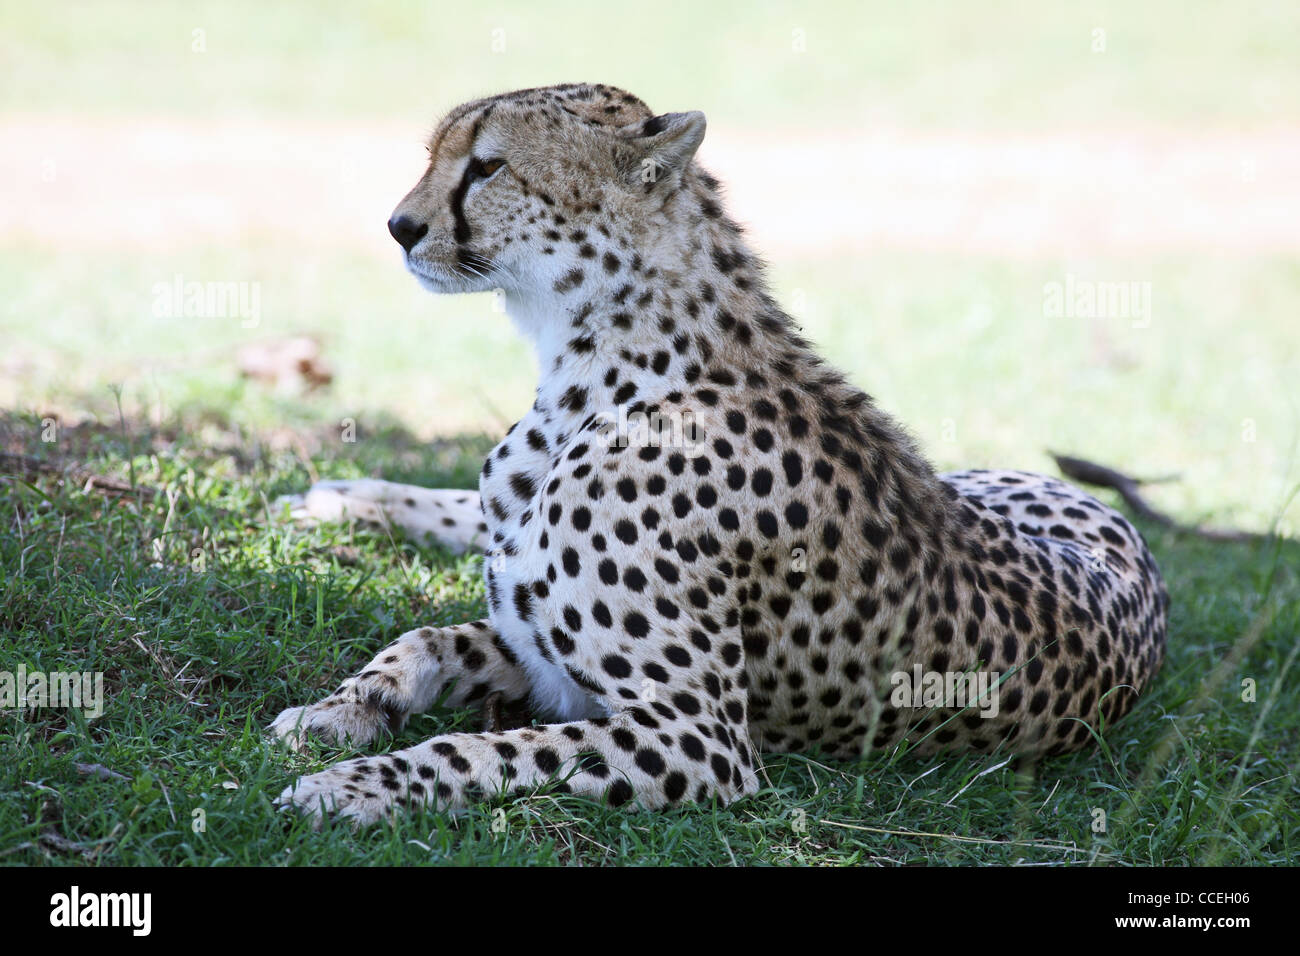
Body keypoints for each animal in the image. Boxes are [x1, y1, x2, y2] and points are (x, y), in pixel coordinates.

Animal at [271, 82, 1170, 827]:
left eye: (487, 166)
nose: (400, 228)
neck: (603, 361)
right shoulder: (542, 659)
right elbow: (425, 638)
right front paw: (339, 711)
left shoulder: (695, 735)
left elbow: (481, 747)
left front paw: (354, 784)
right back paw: (340, 496)